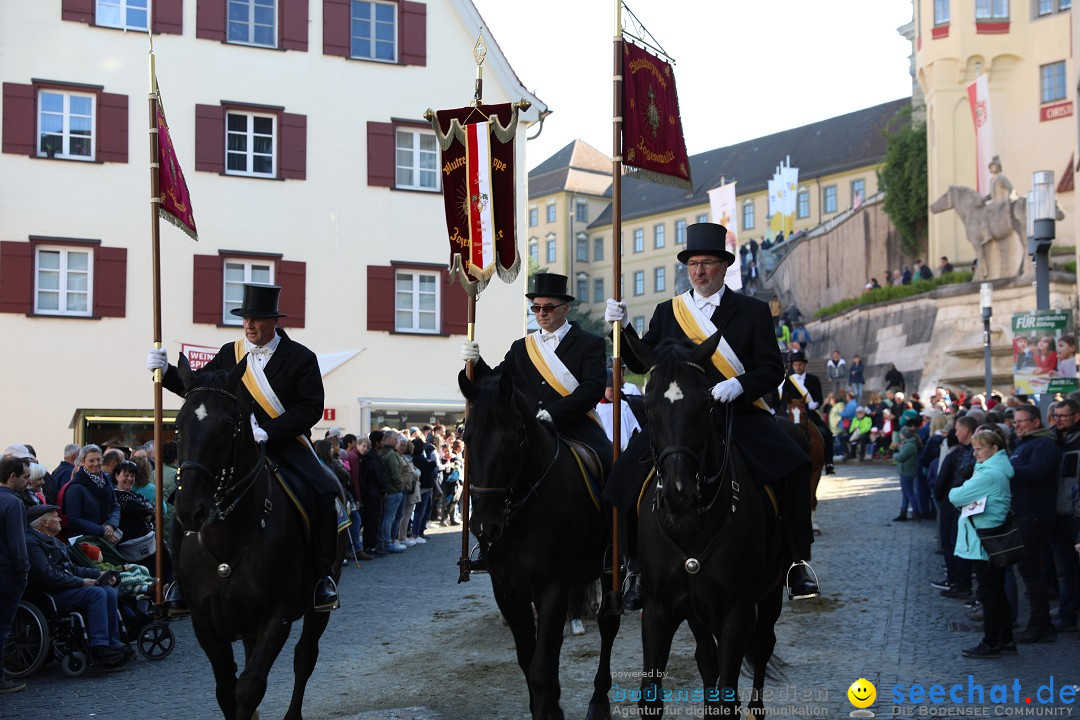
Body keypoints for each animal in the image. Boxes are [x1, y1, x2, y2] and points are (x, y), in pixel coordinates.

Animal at [174, 358, 345, 720]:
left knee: (305, 656)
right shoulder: (204, 621)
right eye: (179, 424)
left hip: (321, 600)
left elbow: (249, 686)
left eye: (227, 426)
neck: (228, 537)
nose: (189, 510)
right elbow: (227, 690)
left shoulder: (277, 613)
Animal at [457, 369, 626, 720]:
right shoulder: (507, 589)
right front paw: (548, 707)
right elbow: (528, 659)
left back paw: (599, 702)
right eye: (466, 439)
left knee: (608, 625)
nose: (483, 526)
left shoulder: (553, 586)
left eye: (511, 441)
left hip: (610, 569)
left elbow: (541, 669)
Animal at [622, 334, 790, 720]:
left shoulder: (737, 610)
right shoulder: (658, 610)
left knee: (762, 647)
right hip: (697, 612)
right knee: (706, 657)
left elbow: (728, 694)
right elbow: (652, 696)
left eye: (706, 405)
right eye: (648, 407)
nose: (678, 494)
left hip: (771, 593)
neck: (690, 525)